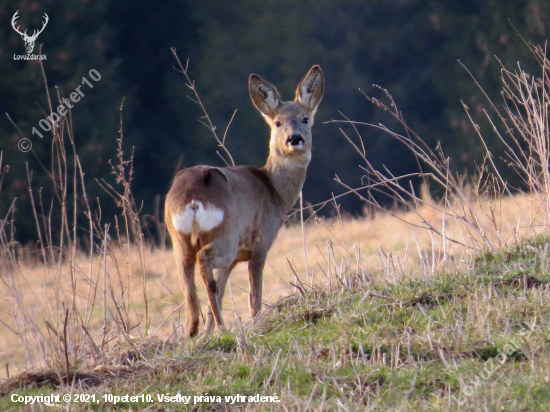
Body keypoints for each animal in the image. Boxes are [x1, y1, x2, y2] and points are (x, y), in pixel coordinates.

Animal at [166, 63, 326, 334]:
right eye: (278, 122)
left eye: (305, 119)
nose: (294, 138)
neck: (274, 191)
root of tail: (192, 200)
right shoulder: (259, 243)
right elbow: (254, 297)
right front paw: (256, 323)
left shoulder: (234, 261)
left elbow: (220, 291)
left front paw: (209, 333)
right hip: (226, 235)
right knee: (203, 260)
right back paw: (220, 328)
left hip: (179, 238)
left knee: (188, 279)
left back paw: (194, 330)